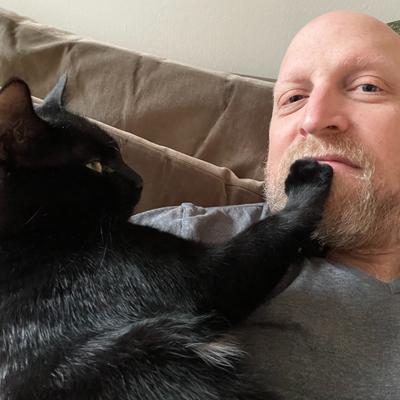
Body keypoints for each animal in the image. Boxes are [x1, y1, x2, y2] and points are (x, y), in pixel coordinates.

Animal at [0, 75, 333, 400]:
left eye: (118, 152)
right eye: (93, 165)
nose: (139, 180)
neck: (33, 238)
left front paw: (316, 243)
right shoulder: (208, 274)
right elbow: (270, 231)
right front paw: (307, 179)